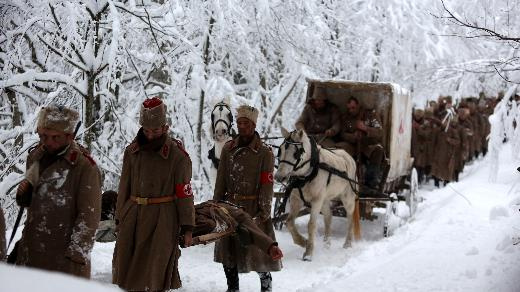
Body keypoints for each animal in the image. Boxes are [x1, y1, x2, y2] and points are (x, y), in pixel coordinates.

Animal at [276, 129, 358, 262]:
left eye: (296, 153)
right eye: (280, 150)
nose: (279, 177)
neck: (307, 174)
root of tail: (349, 157)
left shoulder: (316, 201)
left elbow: (311, 225)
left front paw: (308, 253)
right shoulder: (296, 200)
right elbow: (289, 221)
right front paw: (303, 242)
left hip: (348, 197)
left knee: (350, 217)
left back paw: (348, 243)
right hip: (325, 199)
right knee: (329, 216)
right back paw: (327, 243)